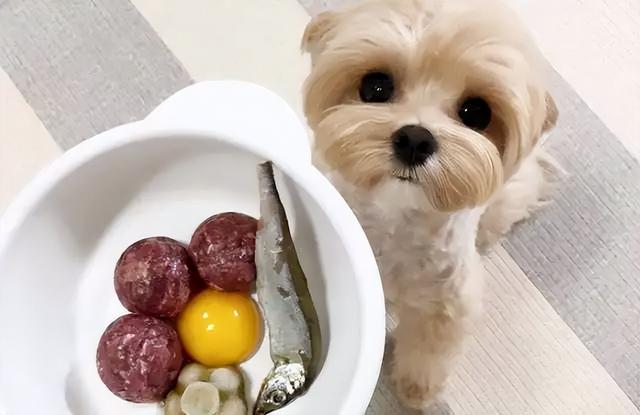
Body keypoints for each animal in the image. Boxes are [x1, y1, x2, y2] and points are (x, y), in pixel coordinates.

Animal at [302, 0, 556, 410]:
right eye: (376, 86)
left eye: (476, 112)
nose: (415, 139)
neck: (392, 222)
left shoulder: (446, 302)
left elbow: (428, 349)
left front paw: (416, 389)